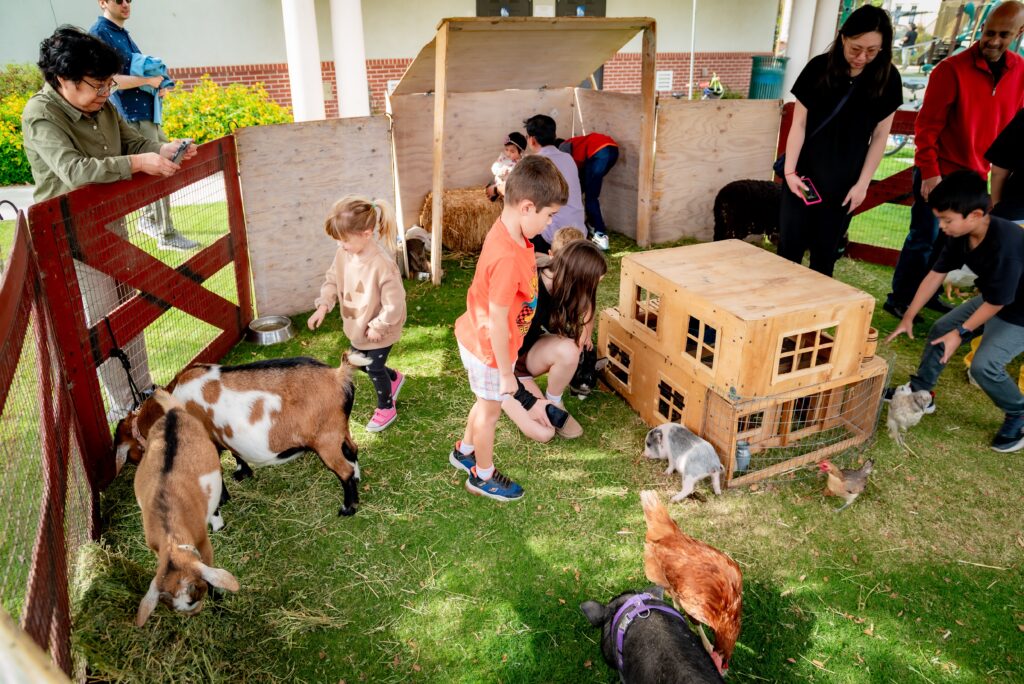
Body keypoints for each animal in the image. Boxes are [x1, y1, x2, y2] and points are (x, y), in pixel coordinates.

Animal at [117, 356, 364, 516]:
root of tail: (338, 375)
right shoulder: (223, 436)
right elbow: (236, 453)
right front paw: (242, 473)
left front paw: (223, 499)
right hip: (340, 430)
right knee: (352, 449)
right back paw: (358, 481)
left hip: (326, 439)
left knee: (344, 470)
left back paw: (347, 508)